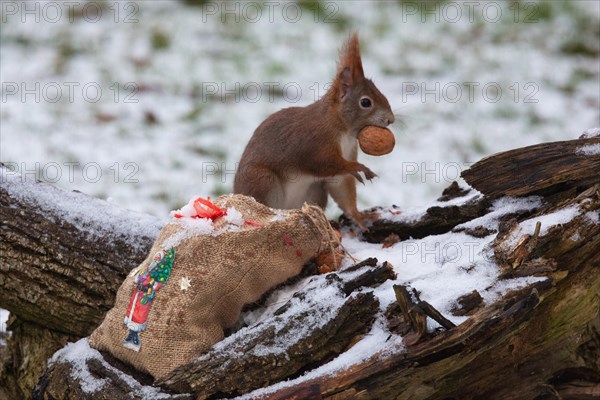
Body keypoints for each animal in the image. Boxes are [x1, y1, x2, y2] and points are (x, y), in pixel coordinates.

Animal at [233, 34, 394, 230]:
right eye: (365, 102)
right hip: (262, 180)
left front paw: (359, 217)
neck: (343, 130)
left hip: (315, 192)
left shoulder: (348, 152)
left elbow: (341, 187)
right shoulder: (315, 142)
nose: (391, 119)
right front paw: (358, 168)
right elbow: (323, 163)